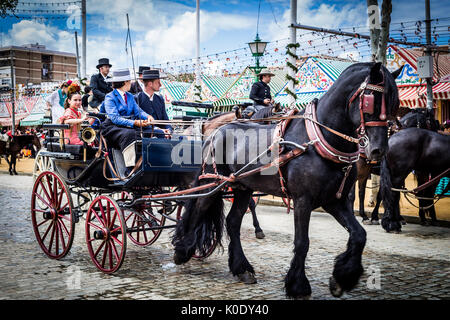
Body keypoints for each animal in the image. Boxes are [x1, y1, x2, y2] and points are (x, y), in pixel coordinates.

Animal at [172, 62, 400, 298]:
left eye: (395, 104)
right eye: (371, 100)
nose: (378, 150)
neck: (319, 140)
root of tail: (214, 133)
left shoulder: (334, 201)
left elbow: (359, 235)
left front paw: (342, 277)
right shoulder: (303, 200)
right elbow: (302, 242)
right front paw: (298, 285)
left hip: (243, 187)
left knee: (233, 222)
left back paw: (242, 268)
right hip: (214, 182)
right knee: (198, 209)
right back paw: (183, 250)